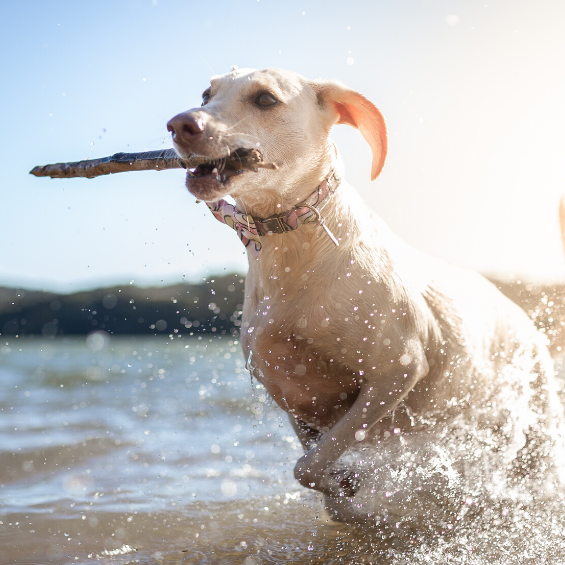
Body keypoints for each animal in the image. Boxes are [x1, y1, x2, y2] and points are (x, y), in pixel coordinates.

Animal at [165, 68, 560, 524]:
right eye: (205, 94)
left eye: (265, 99)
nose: (179, 124)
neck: (295, 251)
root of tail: (523, 314)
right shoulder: (293, 397)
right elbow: (315, 468)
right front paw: (342, 490)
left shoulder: (397, 370)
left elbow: (310, 463)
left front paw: (352, 490)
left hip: (535, 420)